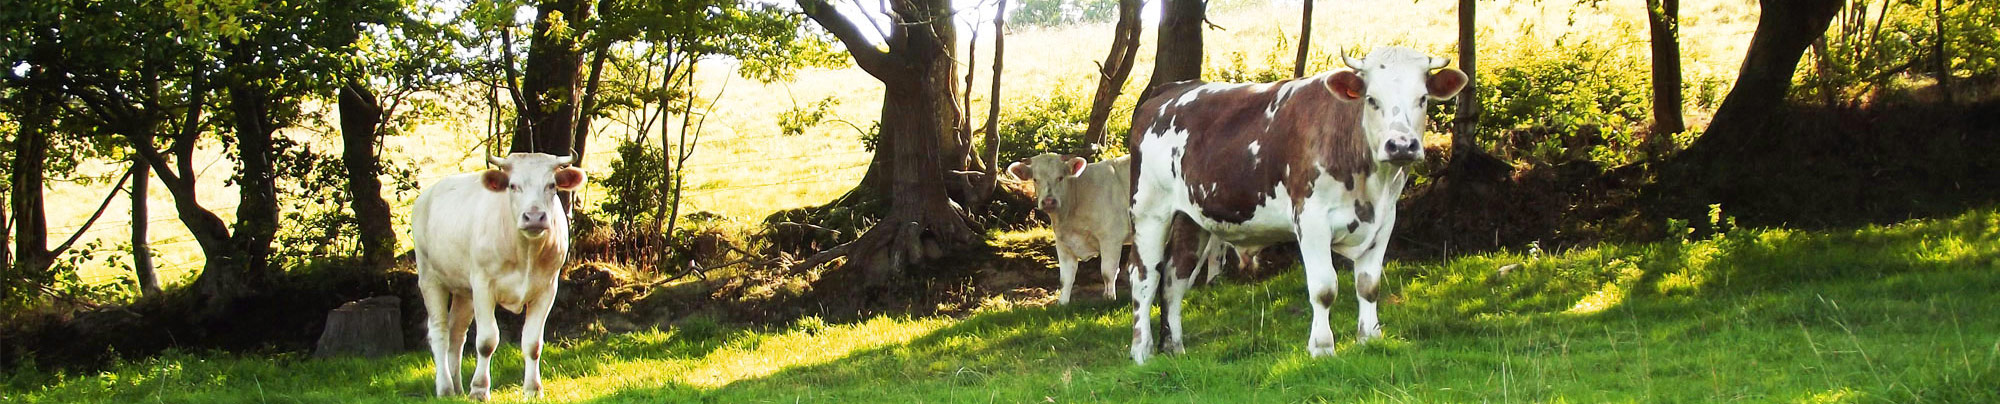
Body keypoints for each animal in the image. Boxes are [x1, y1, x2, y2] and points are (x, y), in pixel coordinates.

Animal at [410, 152, 584, 400]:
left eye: (551, 185)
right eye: (513, 185)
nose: (534, 217)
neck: (525, 251)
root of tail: (427, 195)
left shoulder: (547, 289)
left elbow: (533, 343)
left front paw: (533, 389)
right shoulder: (483, 286)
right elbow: (486, 341)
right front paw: (479, 389)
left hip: (464, 291)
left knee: (456, 333)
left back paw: (457, 386)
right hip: (430, 278)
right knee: (439, 332)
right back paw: (445, 388)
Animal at [1128, 46, 1472, 362]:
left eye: (1423, 99)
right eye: (1372, 99)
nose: (1401, 145)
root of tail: (1168, 90)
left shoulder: (1385, 220)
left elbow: (1368, 285)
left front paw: (1369, 338)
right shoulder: (1311, 218)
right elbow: (1324, 287)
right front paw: (1322, 347)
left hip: (1191, 218)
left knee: (1174, 278)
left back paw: (1175, 348)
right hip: (1149, 211)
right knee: (1144, 278)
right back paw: (1142, 351)